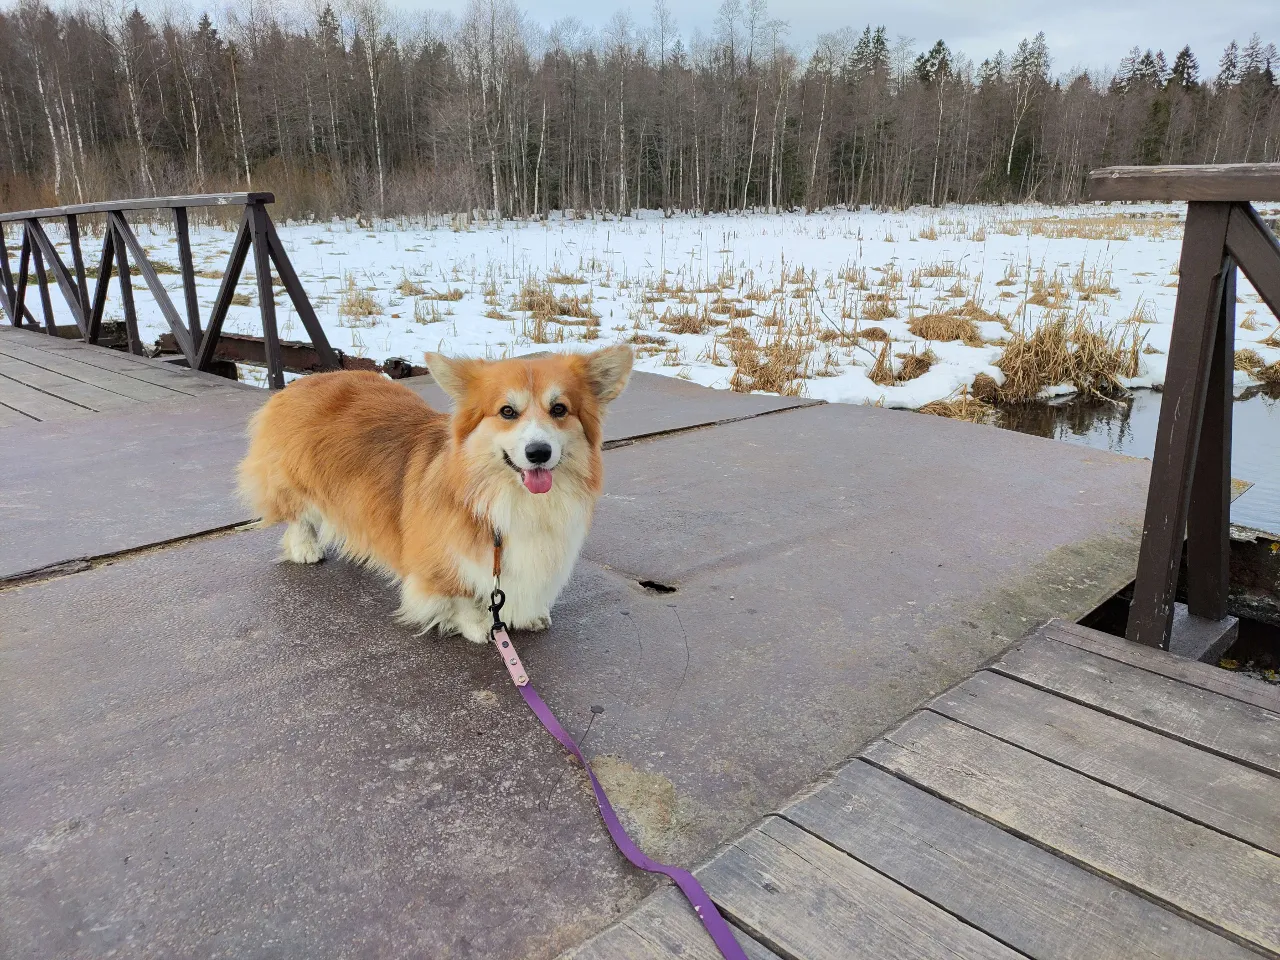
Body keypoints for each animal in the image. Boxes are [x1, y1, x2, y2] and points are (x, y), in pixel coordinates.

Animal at [236, 345, 634, 647]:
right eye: (507, 411)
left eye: (559, 409)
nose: (539, 452)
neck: (516, 498)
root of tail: (305, 381)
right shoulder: (443, 561)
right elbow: (462, 598)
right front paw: (481, 627)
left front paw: (531, 615)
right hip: (294, 480)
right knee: (298, 516)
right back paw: (306, 548)